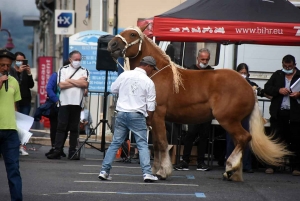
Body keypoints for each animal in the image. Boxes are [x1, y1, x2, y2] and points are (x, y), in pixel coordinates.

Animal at [107, 25, 290, 182]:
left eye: (133, 34)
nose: (111, 44)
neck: (157, 74)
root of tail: (249, 86)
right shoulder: (152, 119)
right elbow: (157, 145)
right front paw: (156, 170)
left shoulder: (159, 116)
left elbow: (162, 143)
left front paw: (163, 171)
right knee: (241, 140)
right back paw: (233, 172)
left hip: (227, 120)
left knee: (244, 138)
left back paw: (231, 169)